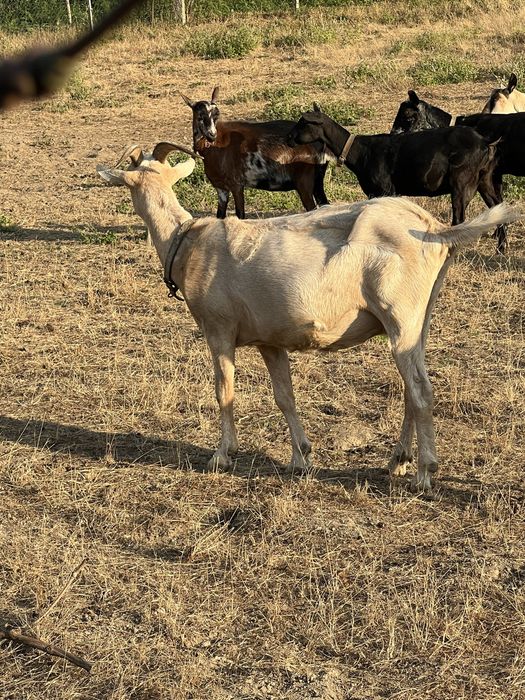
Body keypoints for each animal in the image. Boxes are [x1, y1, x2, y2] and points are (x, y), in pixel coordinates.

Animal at [97, 142, 520, 492]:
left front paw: (222, 454)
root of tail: (435, 229)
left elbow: (224, 390)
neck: (187, 240)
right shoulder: (269, 340)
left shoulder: (218, 328)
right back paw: (397, 460)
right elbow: (284, 396)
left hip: (400, 314)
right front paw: (301, 457)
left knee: (420, 389)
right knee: (410, 389)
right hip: (420, 318)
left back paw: (424, 474)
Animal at [181, 87, 330, 218]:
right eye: (200, 117)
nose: (212, 135)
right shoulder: (220, 188)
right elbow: (220, 216)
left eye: (216, 115)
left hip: (304, 182)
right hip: (317, 181)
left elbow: (240, 215)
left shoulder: (236, 185)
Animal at [287, 107, 499, 228]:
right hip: (484, 179)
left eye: (302, 123)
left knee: (459, 217)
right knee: (497, 206)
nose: (289, 138)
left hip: (461, 183)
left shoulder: (384, 190)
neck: (361, 151)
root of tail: (484, 141)